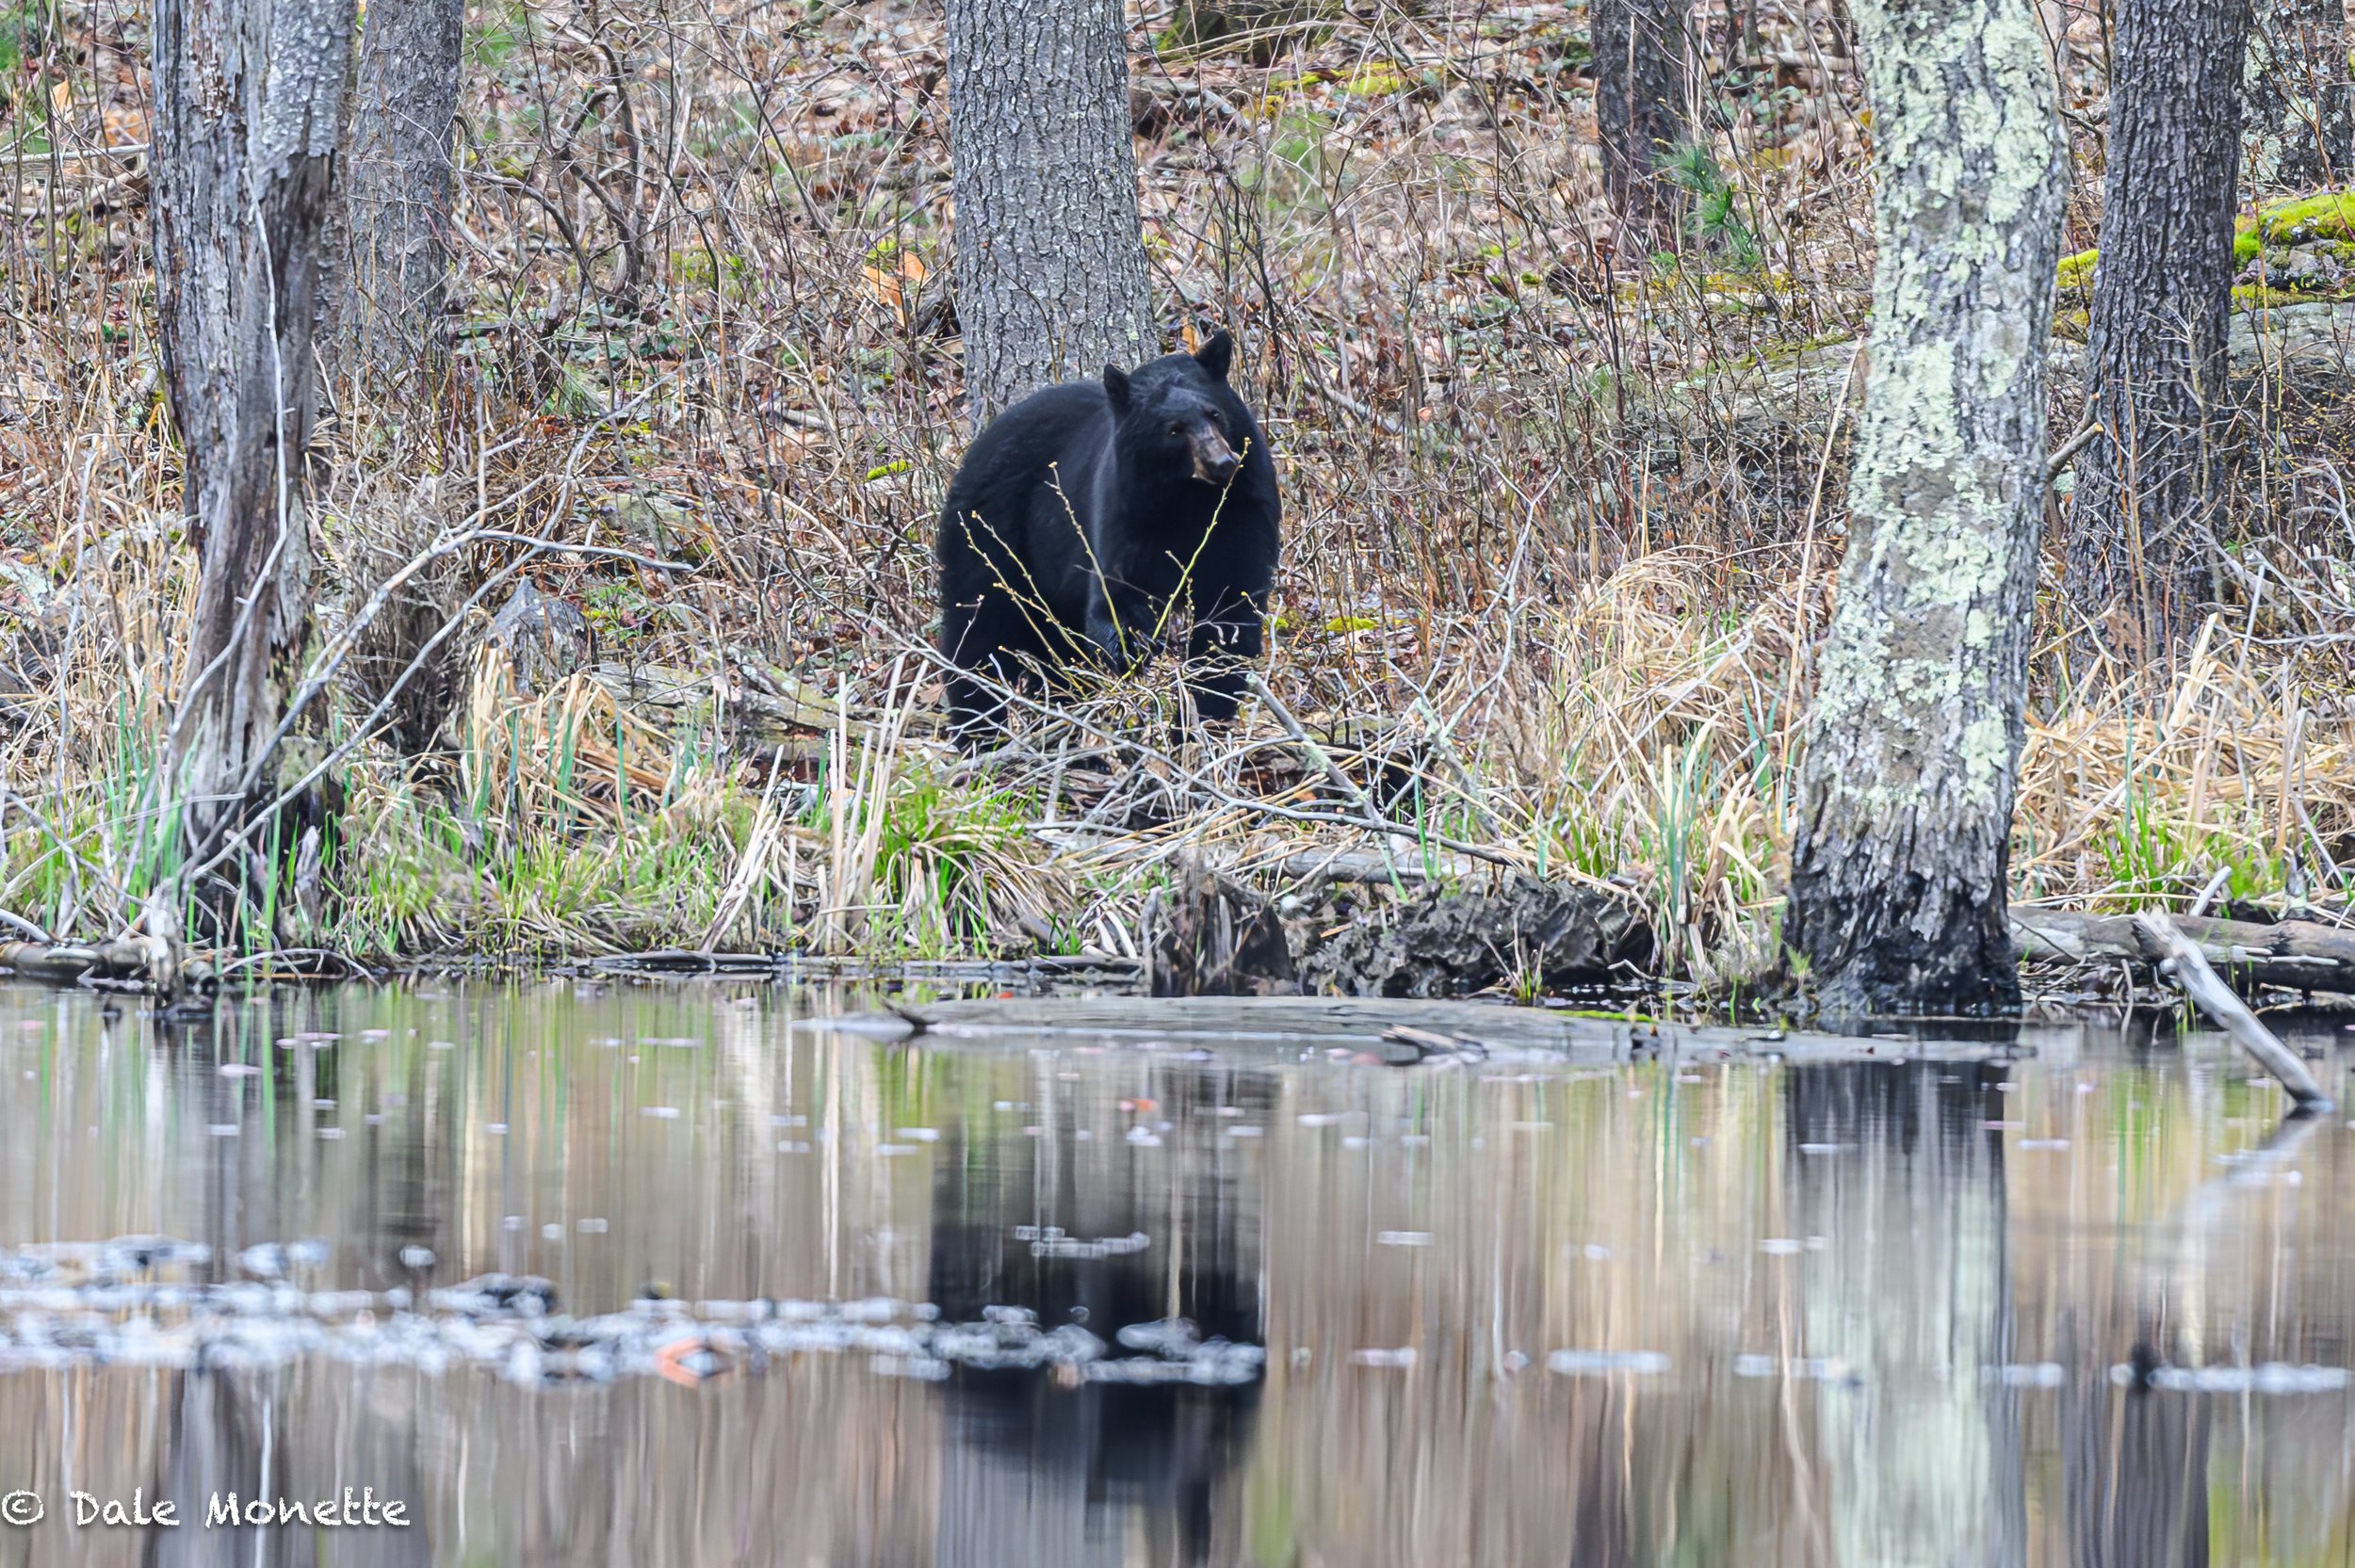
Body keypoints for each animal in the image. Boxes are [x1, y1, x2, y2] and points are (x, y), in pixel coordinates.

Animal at [928, 327, 1281, 744]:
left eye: (1215, 414)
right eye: (1173, 429)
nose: (1221, 463)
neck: (1188, 499)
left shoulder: (1245, 509)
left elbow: (1232, 605)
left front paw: (1202, 719)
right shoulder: (1122, 508)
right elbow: (1112, 596)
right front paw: (1134, 645)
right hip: (989, 534)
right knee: (977, 631)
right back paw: (978, 732)